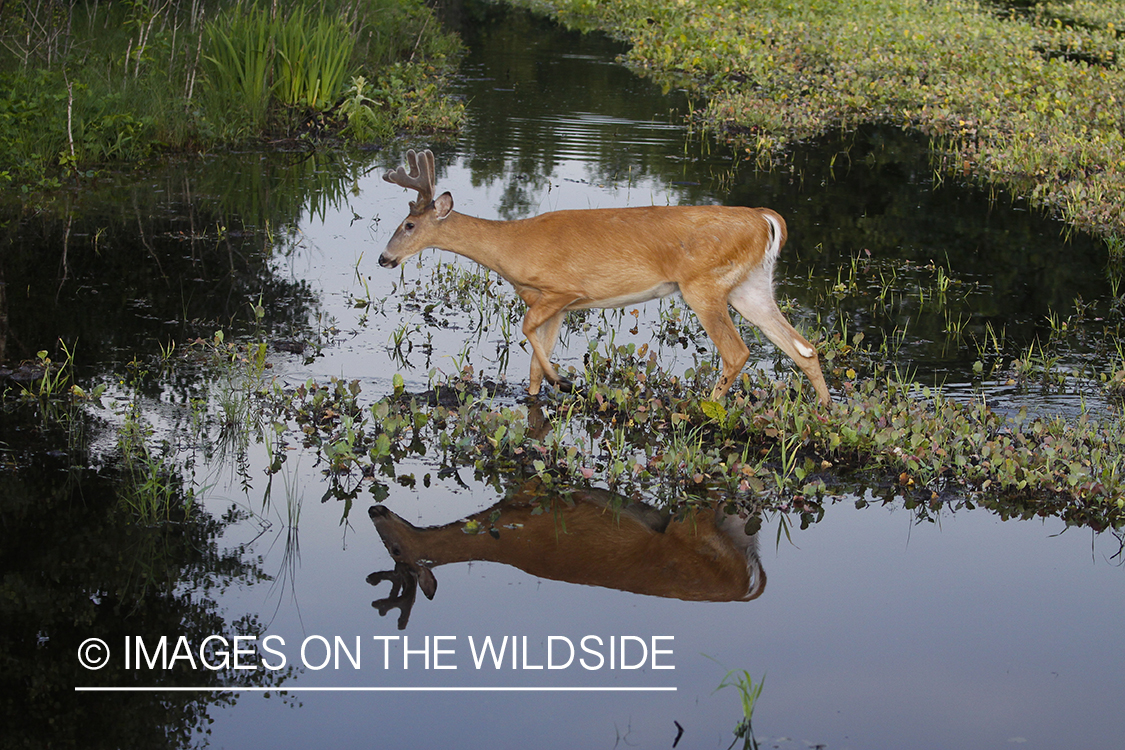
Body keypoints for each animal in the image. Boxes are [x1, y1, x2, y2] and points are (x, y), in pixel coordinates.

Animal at [382, 148, 832, 404]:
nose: (385, 258)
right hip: (749, 285)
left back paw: (705, 410)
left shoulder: (561, 290)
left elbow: (525, 329)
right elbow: (532, 362)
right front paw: (540, 393)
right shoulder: (554, 303)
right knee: (804, 347)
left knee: (737, 351)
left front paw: (563, 381)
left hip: (703, 284)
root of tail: (763, 218)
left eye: (408, 224)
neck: (512, 246)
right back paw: (825, 412)